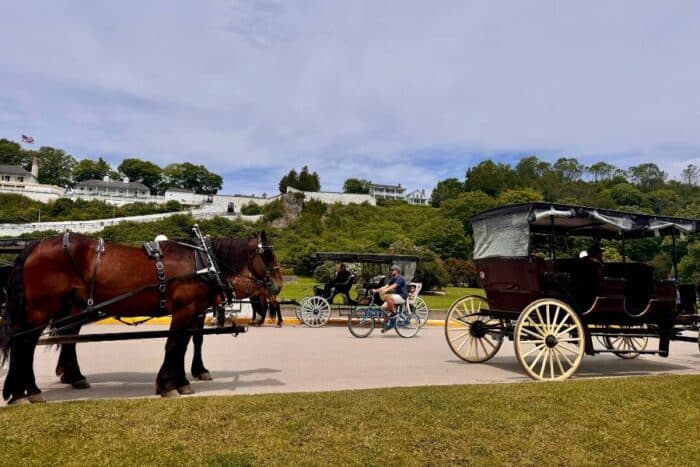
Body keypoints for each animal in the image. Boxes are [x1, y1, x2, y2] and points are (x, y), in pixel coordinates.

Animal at [3, 232, 282, 404]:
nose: (278, 285)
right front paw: (170, 385)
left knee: (53, 340)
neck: (202, 261)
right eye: (267, 256)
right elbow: (175, 345)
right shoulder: (185, 309)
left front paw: (182, 380)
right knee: (25, 345)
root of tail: (35, 245)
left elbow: (186, 344)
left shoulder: (194, 310)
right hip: (41, 309)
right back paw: (27, 391)